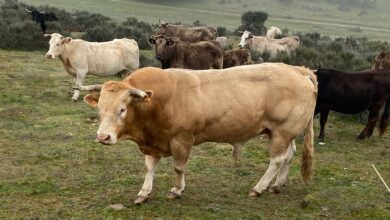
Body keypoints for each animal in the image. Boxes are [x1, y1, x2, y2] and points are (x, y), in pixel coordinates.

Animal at [83, 63, 316, 205]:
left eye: (122, 109)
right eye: (100, 108)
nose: (103, 137)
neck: (161, 101)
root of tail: (297, 69)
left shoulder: (182, 139)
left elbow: (178, 167)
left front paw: (177, 190)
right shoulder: (153, 142)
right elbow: (150, 167)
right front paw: (144, 192)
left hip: (282, 131)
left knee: (276, 160)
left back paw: (259, 188)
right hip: (280, 132)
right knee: (288, 155)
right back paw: (277, 185)